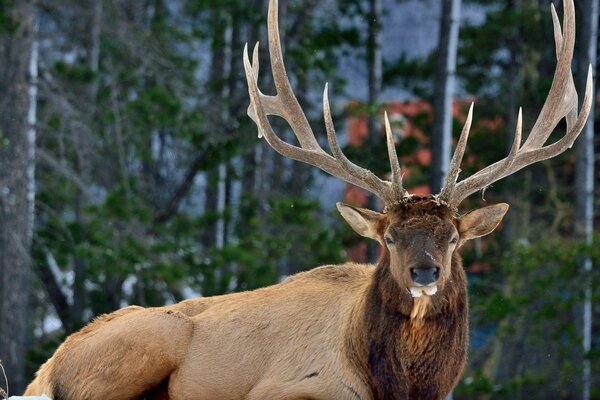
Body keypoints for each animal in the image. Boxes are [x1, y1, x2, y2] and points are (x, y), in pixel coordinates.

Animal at [24, 0, 592, 400]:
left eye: (453, 238)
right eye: (389, 238)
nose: (425, 271)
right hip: (147, 343)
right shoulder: (288, 387)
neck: (400, 385)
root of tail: (45, 370)